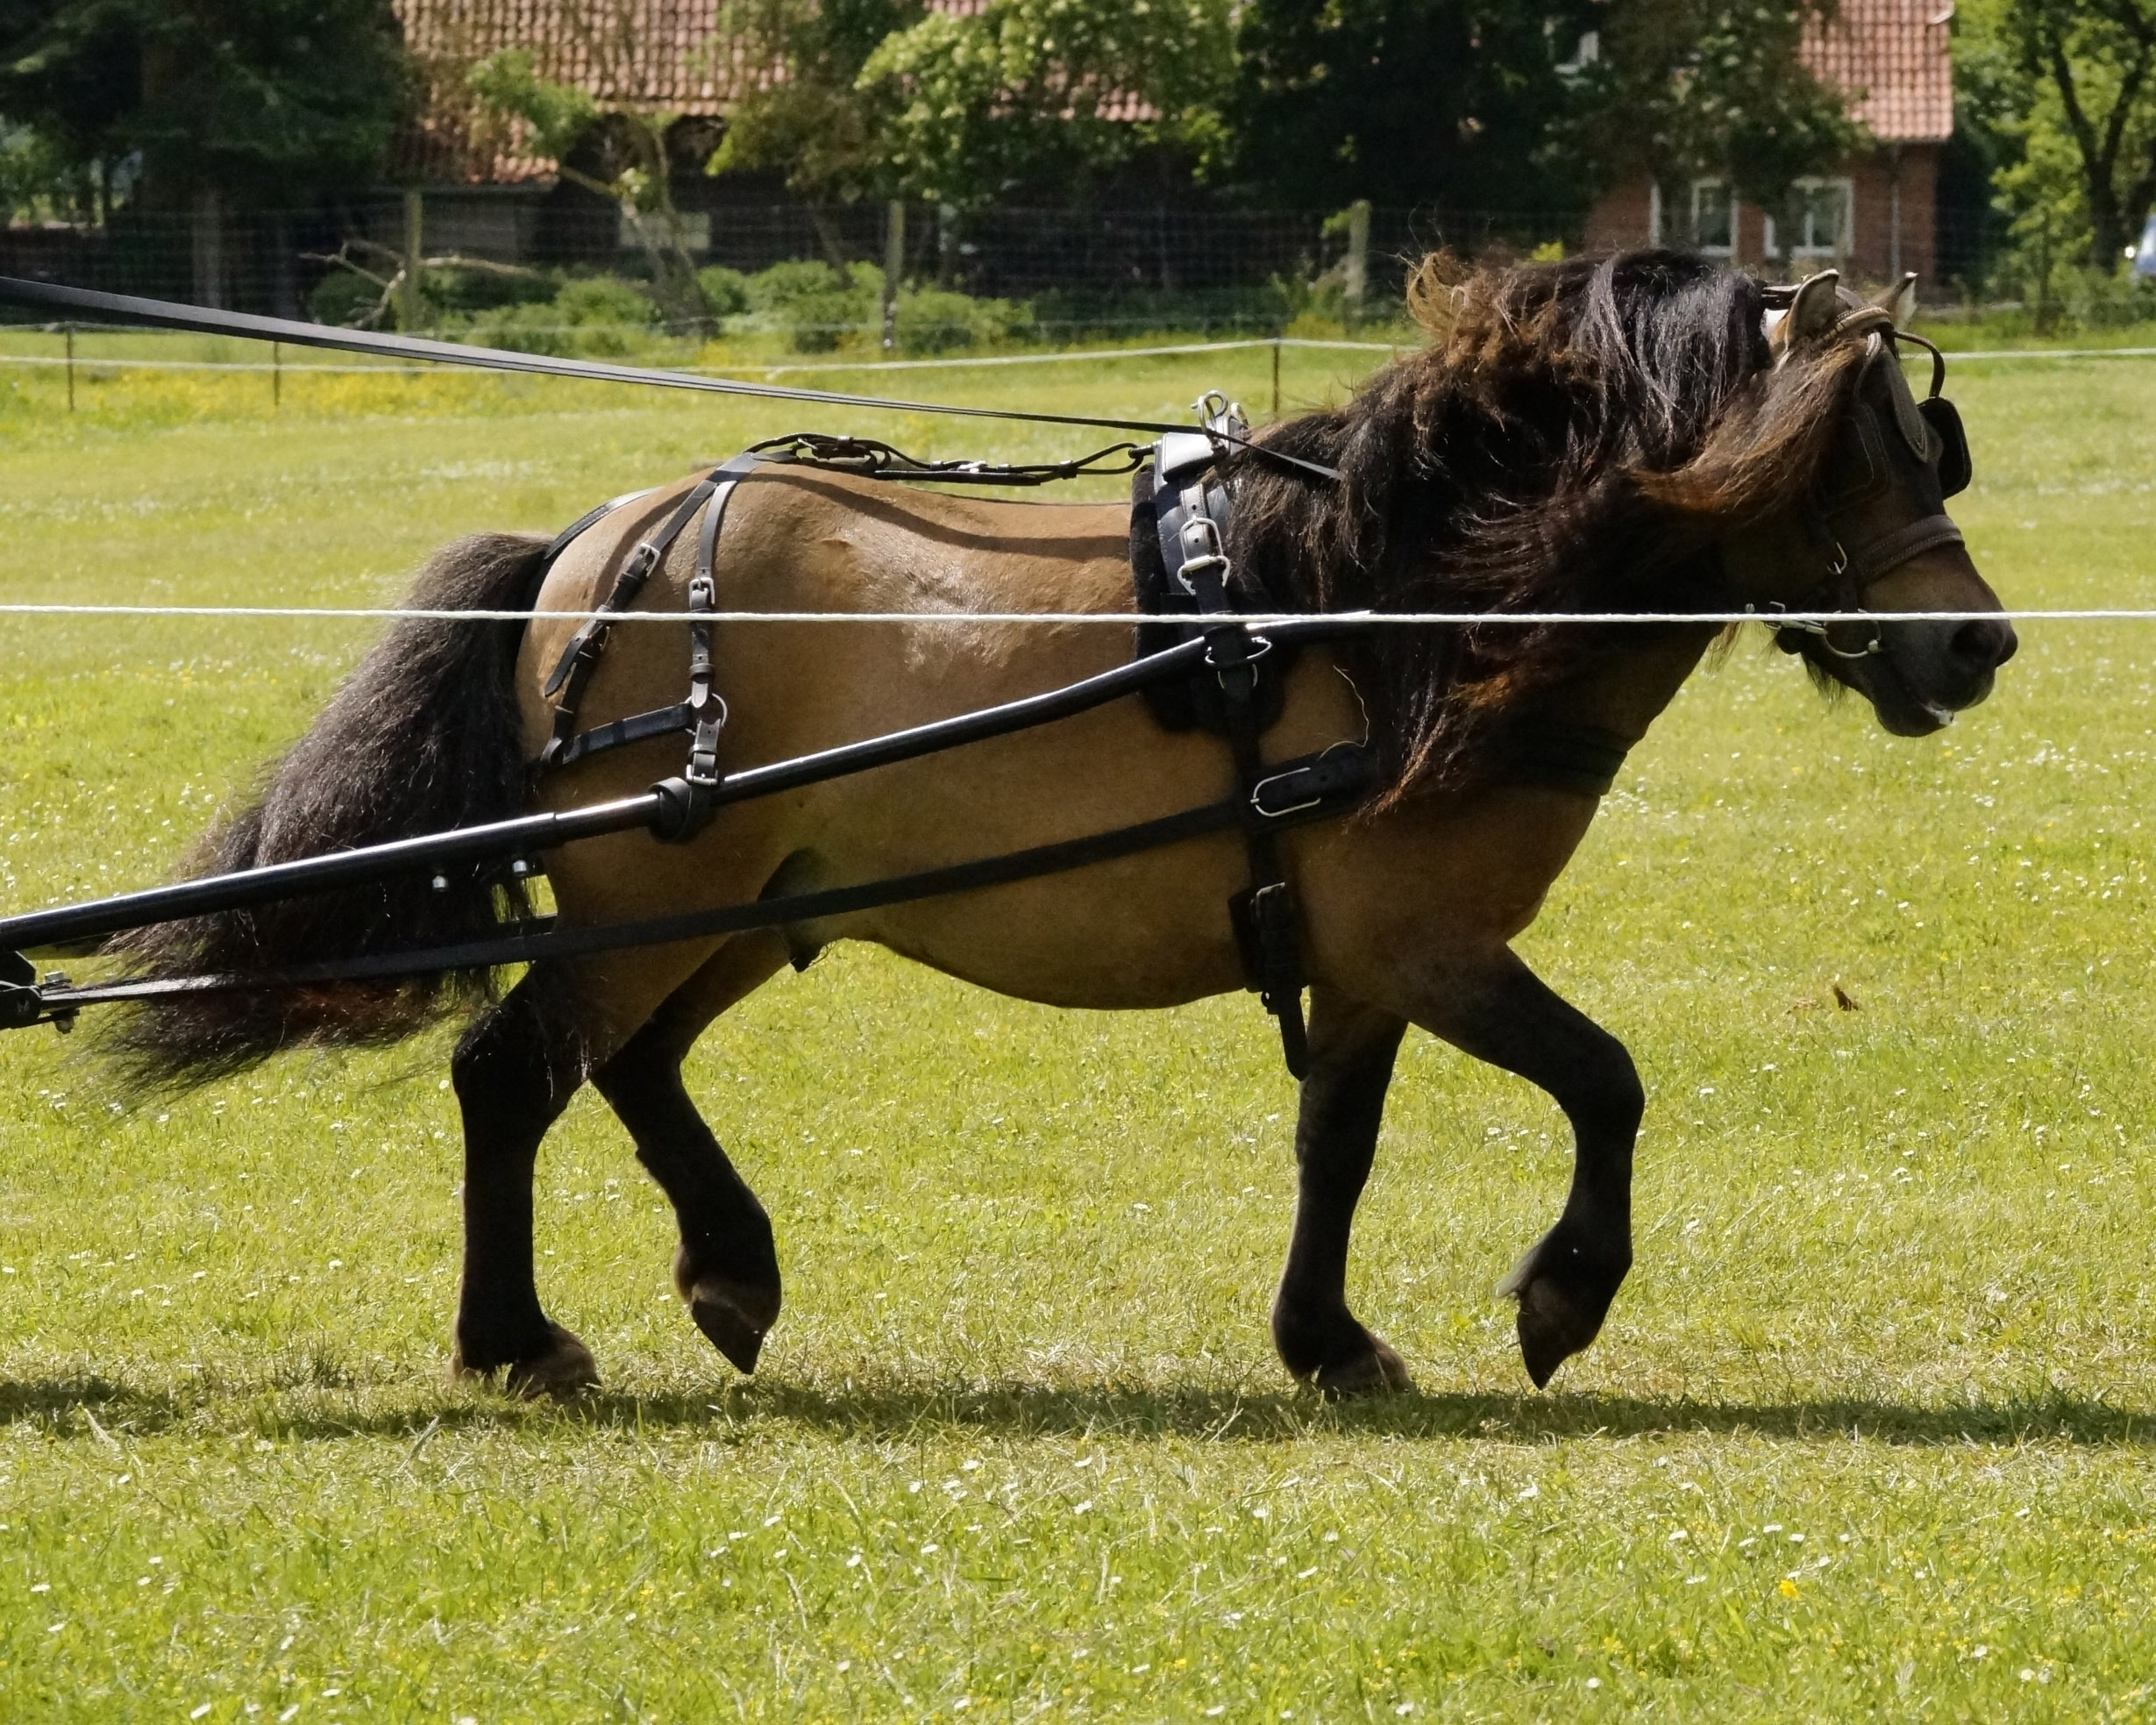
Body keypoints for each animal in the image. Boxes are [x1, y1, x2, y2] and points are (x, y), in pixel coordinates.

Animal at [104, 256, 2017, 1397]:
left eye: (1922, 439)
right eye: (1850, 451)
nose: (1975, 643)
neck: (1390, 603)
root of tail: (602, 540)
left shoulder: (1362, 958)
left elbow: (1337, 1145)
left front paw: (1325, 1337)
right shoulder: (1431, 945)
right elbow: (1605, 1082)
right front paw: (1560, 1293)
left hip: (740, 901)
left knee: (632, 1069)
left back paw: (729, 1267)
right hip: (648, 895)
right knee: (511, 1077)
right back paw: (515, 1341)